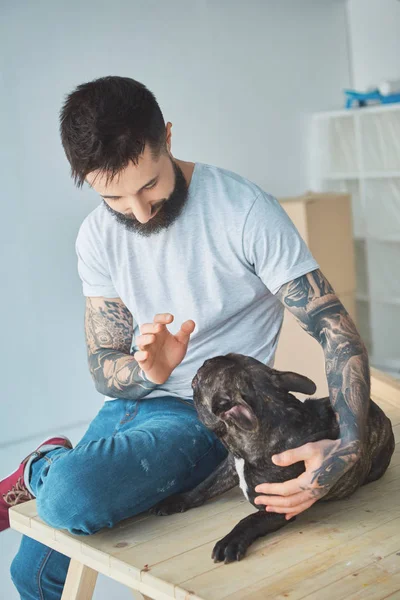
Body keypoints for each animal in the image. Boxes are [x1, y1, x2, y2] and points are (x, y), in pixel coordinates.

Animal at [151, 352, 396, 564]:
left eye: (200, 377)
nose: (207, 359)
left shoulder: (279, 505)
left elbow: (250, 519)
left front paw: (231, 541)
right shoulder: (230, 466)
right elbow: (204, 485)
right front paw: (178, 500)